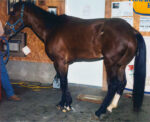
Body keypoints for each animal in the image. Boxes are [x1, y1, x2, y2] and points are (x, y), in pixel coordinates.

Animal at [2, 1, 146, 119]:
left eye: (14, 13)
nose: (6, 32)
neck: (53, 28)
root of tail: (131, 31)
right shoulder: (62, 63)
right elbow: (63, 81)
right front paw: (64, 103)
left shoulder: (60, 62)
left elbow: (63, 82)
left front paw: (66, 105)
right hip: (121, 65)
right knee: (122, 83)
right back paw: (111, 107)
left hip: (111, 63)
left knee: (113, 84)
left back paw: (100, 111)